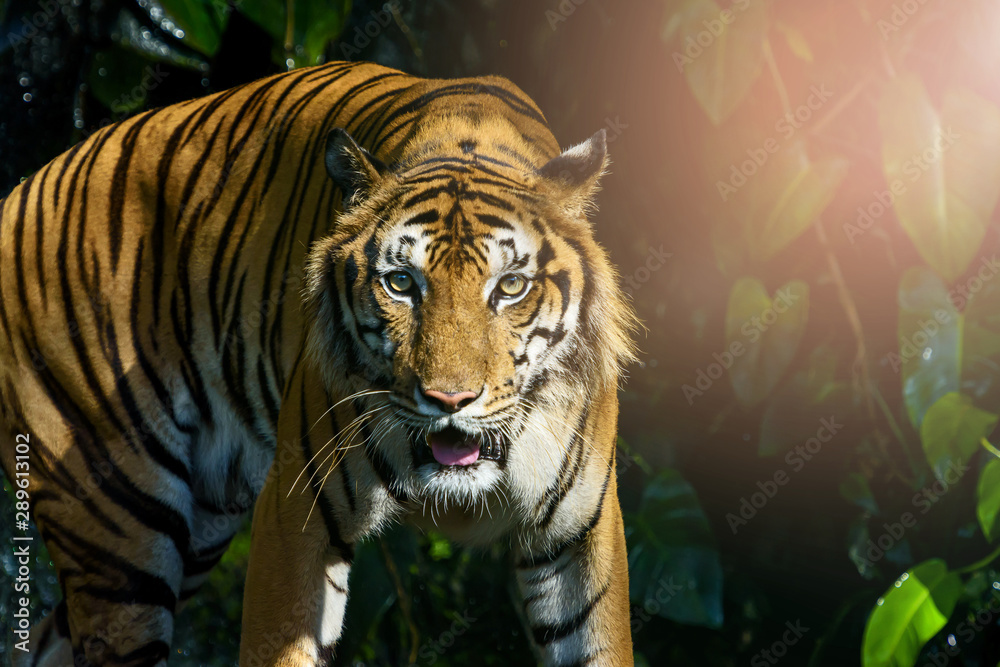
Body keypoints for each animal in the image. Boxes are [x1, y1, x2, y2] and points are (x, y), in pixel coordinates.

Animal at [0, 60, 639, 666]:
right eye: (401, 283)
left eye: (509, 287)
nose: (449, 401)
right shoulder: (297, 511)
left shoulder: (580, 534)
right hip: (120, 523)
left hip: (200, 522)